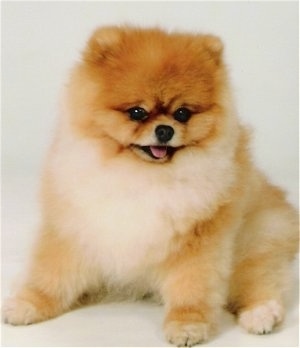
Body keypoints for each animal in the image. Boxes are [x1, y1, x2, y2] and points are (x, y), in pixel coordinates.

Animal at [2, 26, 298, 346]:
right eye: (137, 112)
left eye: (182, 113)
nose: (164, 130)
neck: (143, 176)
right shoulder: (76, 227)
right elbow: (50, 274)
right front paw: (28, 304)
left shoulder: (200, 240)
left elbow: (192, 286)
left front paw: (187, 325)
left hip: (255, 240)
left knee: (261, 279)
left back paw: (261, 314)